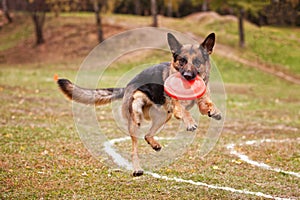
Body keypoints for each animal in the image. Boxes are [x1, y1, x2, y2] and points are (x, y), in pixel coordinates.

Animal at [57, 33, 221, 177]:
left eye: (197, 62)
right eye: (182, 61)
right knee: (134, 148)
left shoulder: (201, 101)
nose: (186, 76)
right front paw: (190, 122)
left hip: (164, 117)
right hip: (136, 117)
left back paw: (154, 144)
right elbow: (183, 110)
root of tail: (127, 86)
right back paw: (137, 169)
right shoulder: (176, 106)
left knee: (148, 135)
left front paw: (214, 111)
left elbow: (207, 104)